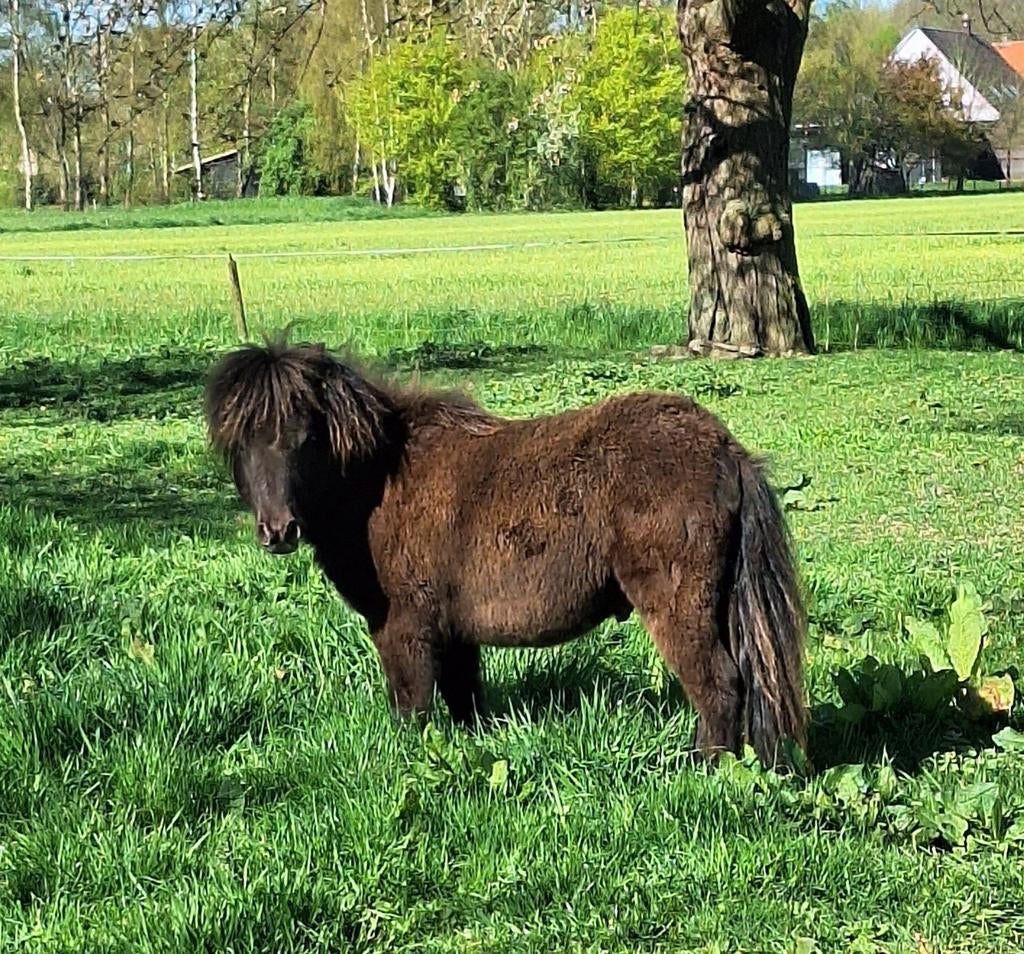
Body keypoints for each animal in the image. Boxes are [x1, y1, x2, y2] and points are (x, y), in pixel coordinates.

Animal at [204, 337, 807, 767]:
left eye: (305, 436)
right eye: (240, 440)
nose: (277, 530)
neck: (380, 483)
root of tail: (727, 451)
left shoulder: (405, 631)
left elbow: (412, 711)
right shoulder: (453, 634)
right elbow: (464, 701)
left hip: (679, 607)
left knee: (718, 684)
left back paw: (704, 771)